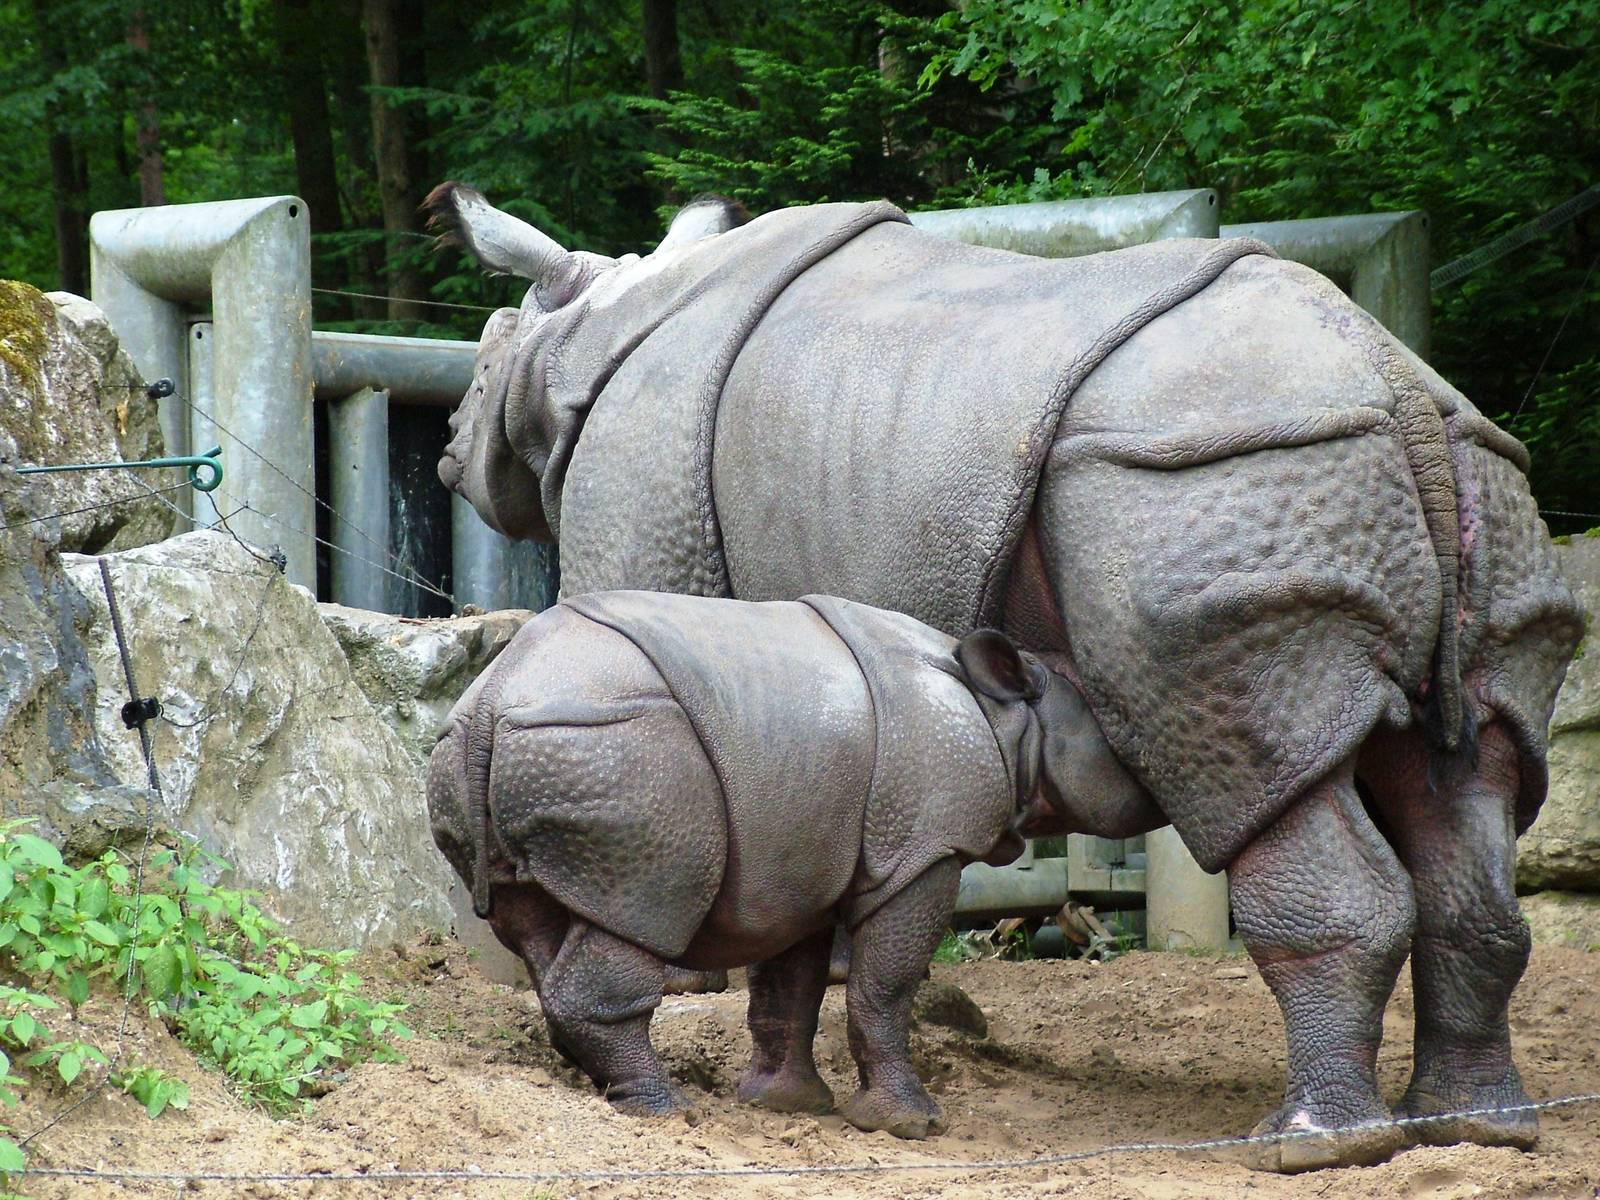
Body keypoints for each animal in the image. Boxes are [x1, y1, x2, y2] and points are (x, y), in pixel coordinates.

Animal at [427, 590, 1140, 1137]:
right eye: (1121, 751)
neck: (1011, 718)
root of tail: (491, 699)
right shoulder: (926, 847)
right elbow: (886, 985)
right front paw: (911, 1125)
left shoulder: (800, 857)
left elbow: (788, 983)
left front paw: (787, 1105)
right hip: (616, 747)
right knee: (642, 912)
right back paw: (666, 1111)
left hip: (500, 751)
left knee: (537, 921)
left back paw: (603, 1085)